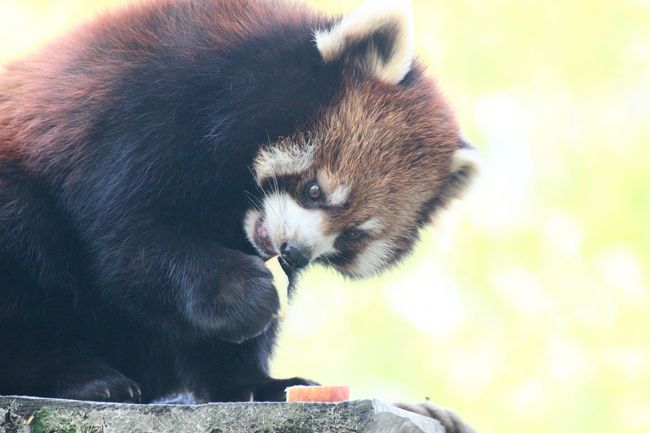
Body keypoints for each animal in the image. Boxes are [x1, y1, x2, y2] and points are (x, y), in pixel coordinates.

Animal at [0, 0, 476, 418]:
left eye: (352, 236)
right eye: (314, 190)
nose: (294, 253)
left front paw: (252, 382)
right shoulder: (145, 114)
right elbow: (130, 242)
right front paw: (241, 293)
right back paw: (82, 378)